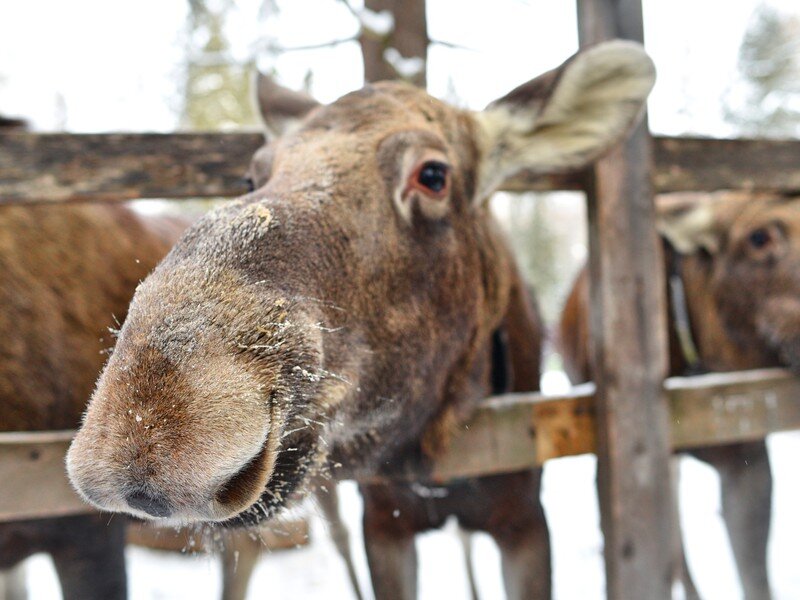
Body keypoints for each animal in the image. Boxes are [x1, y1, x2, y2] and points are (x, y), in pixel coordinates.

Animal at [69, 39, 656, 596]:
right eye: (252, 175)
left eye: (434, 174)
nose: (148, 432)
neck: (433, 463)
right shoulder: (384, 522)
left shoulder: (523, 518)